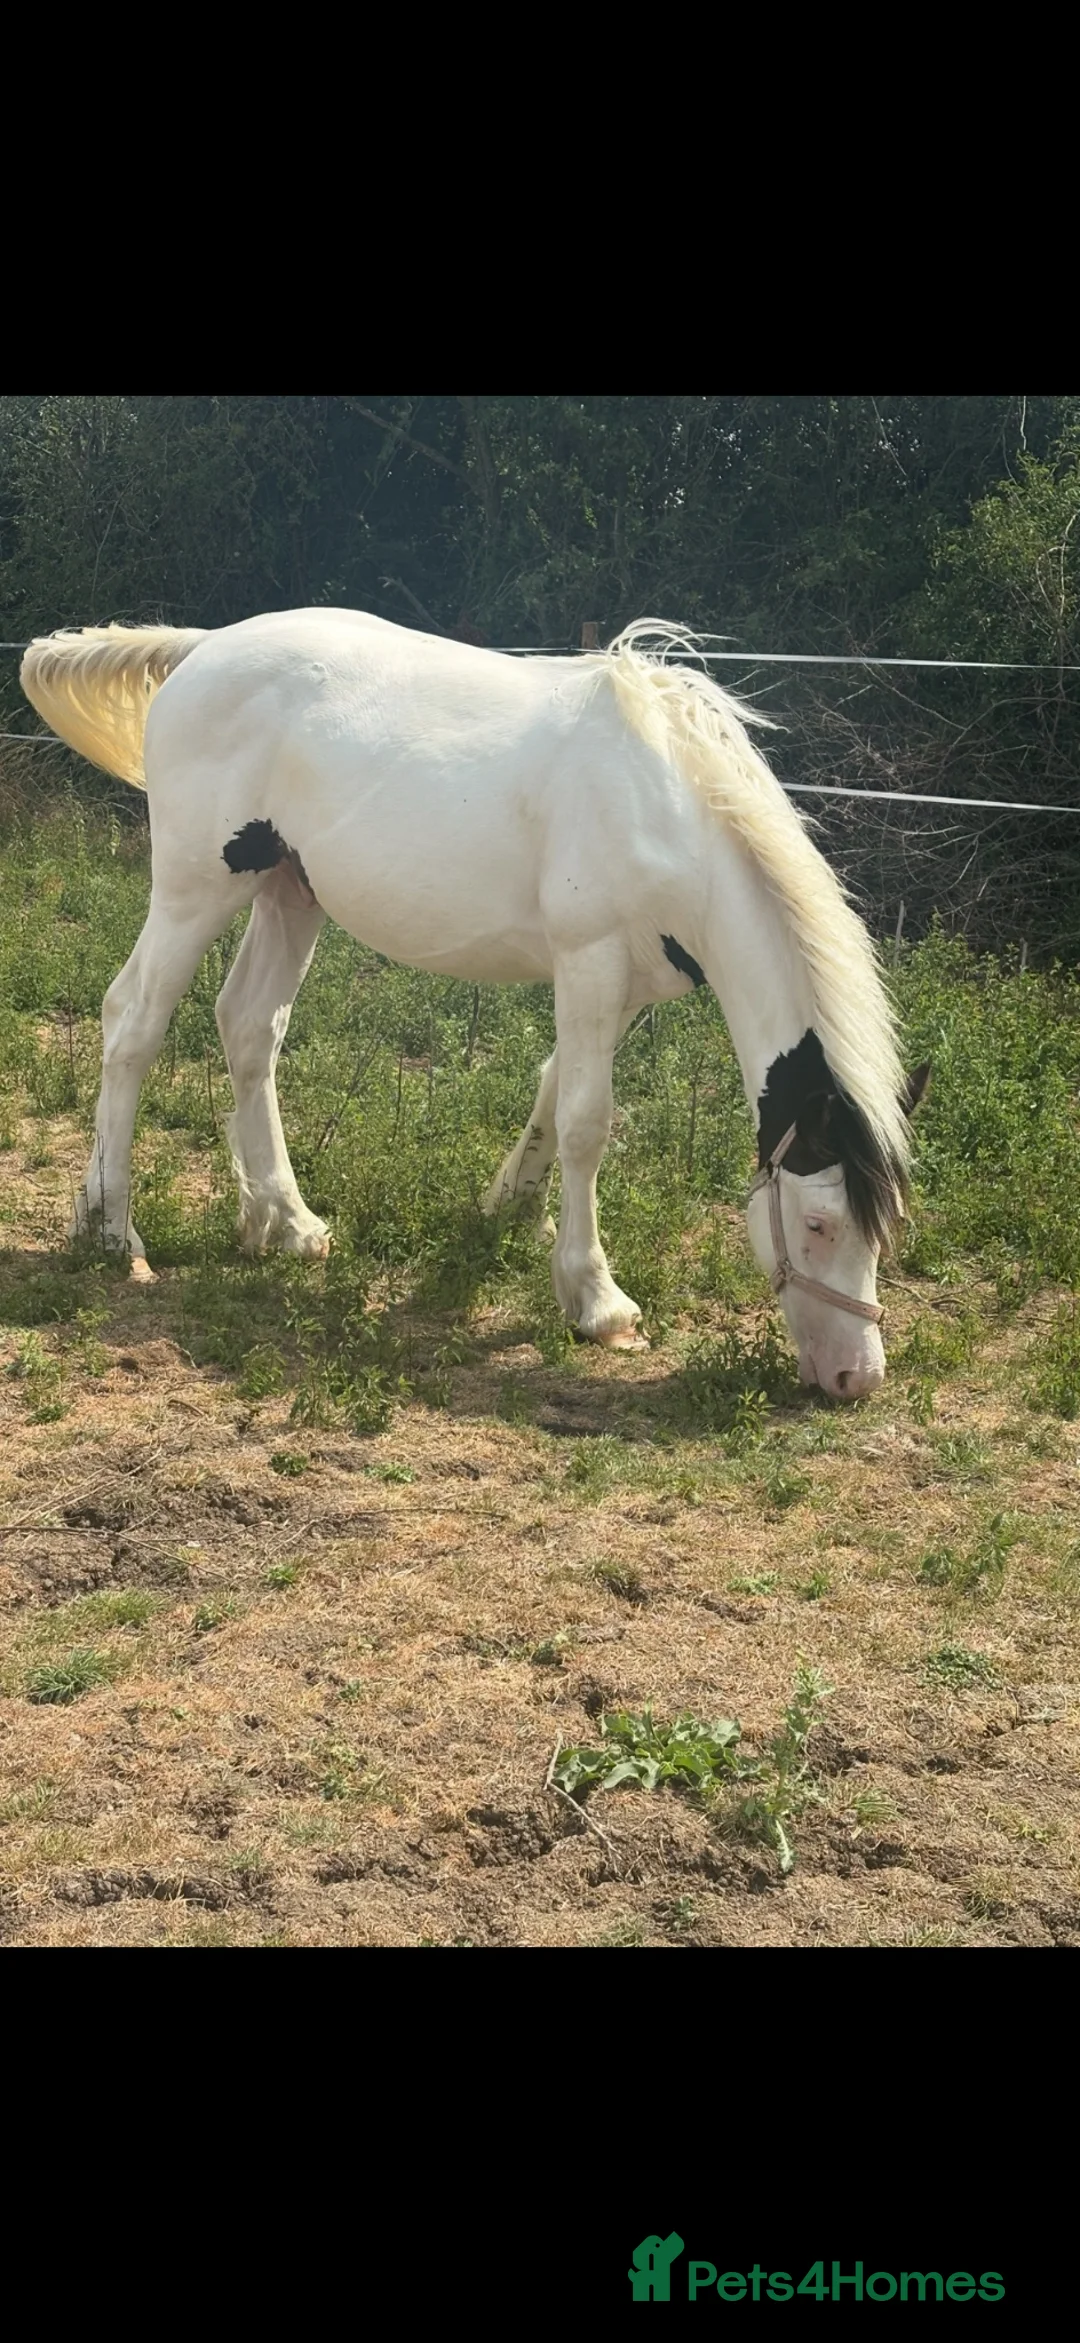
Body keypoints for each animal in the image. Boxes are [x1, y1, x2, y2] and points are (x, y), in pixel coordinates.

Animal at [21, 612, 928, 1399]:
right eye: (819, 1224)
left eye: (885, 1226)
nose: (856, 1377)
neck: (670, 805)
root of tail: (203, 648)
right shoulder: (590, 960)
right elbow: (587, 1123)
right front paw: (597, 1299)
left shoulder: (621, 986)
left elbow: (553, 1092)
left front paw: (507, 1216)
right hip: (197, 888)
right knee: (132, 1019)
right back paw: (110, 1228)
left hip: (288, 892)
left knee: (249, 1027)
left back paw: (286, 1222)